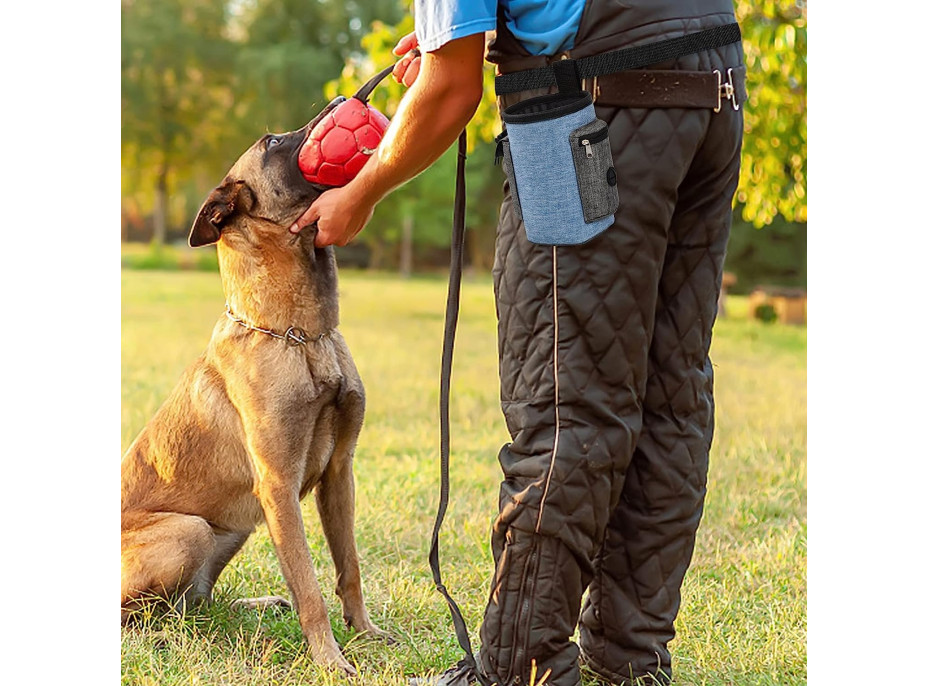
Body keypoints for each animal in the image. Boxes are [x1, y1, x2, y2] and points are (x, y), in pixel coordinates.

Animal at [120, 102, 388, 676]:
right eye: (272, 142)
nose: (340, 102)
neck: (299, 336)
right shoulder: (278, 487)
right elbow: (309, 585)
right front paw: (331, 660)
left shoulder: (340, 472)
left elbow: (348, 567)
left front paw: (366, 633)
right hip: (190, 530)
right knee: (145, 616)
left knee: (194, 606)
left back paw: (256, 604)